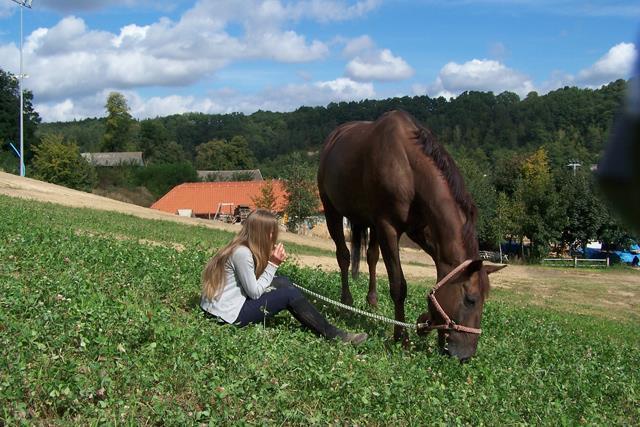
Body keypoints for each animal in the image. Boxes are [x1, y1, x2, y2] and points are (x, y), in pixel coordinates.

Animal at [318, 111, 508, 362]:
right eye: (471, 300)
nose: (465, 356)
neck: (409, 168)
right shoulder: (388, 227)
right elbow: (399, 285)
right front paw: (402, 338)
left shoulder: (419, 229)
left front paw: (426, 321)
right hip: (332, 211)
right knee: (344, 256)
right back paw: (345, 303)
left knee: (371, 257)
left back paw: (372, 303)